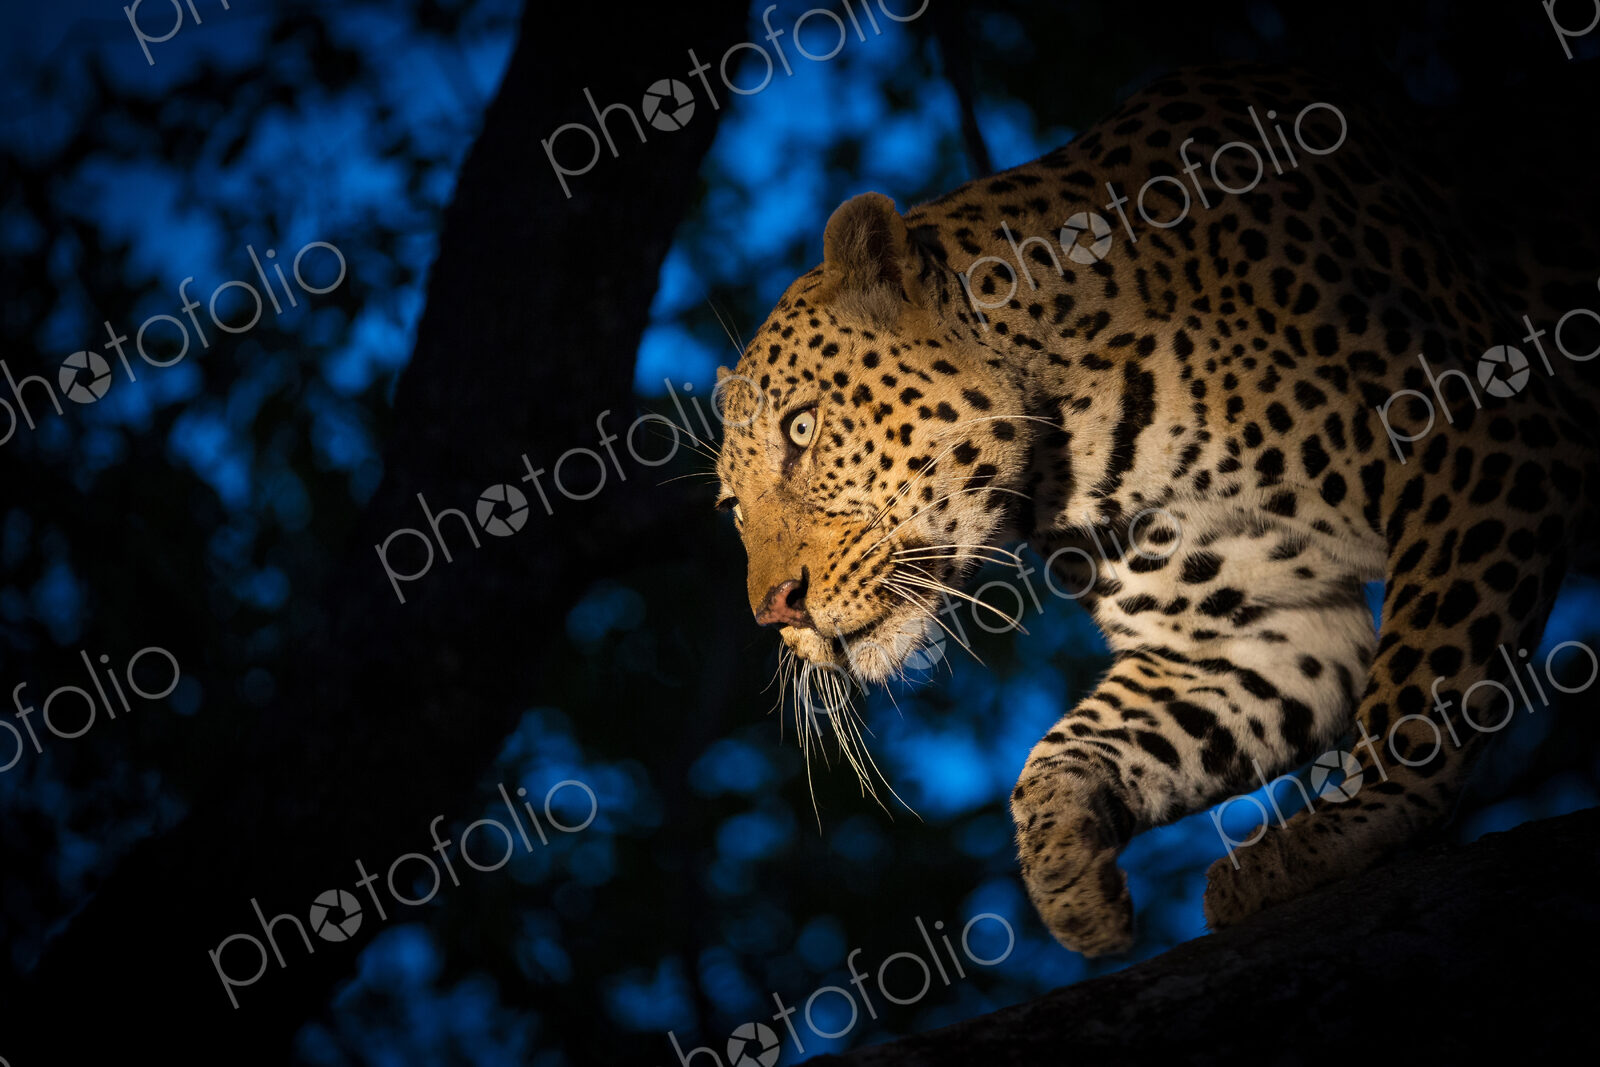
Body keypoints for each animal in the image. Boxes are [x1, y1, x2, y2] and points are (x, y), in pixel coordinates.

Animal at [711, 62, 1600, 956]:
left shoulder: (1483, 436)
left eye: (801, 428)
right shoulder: (1249, 635)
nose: (774, 610)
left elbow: (1422, 680)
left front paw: (1354, 821)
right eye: (734, 510)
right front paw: (1066, 875)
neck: (1078, 439)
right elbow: (1066, 749)